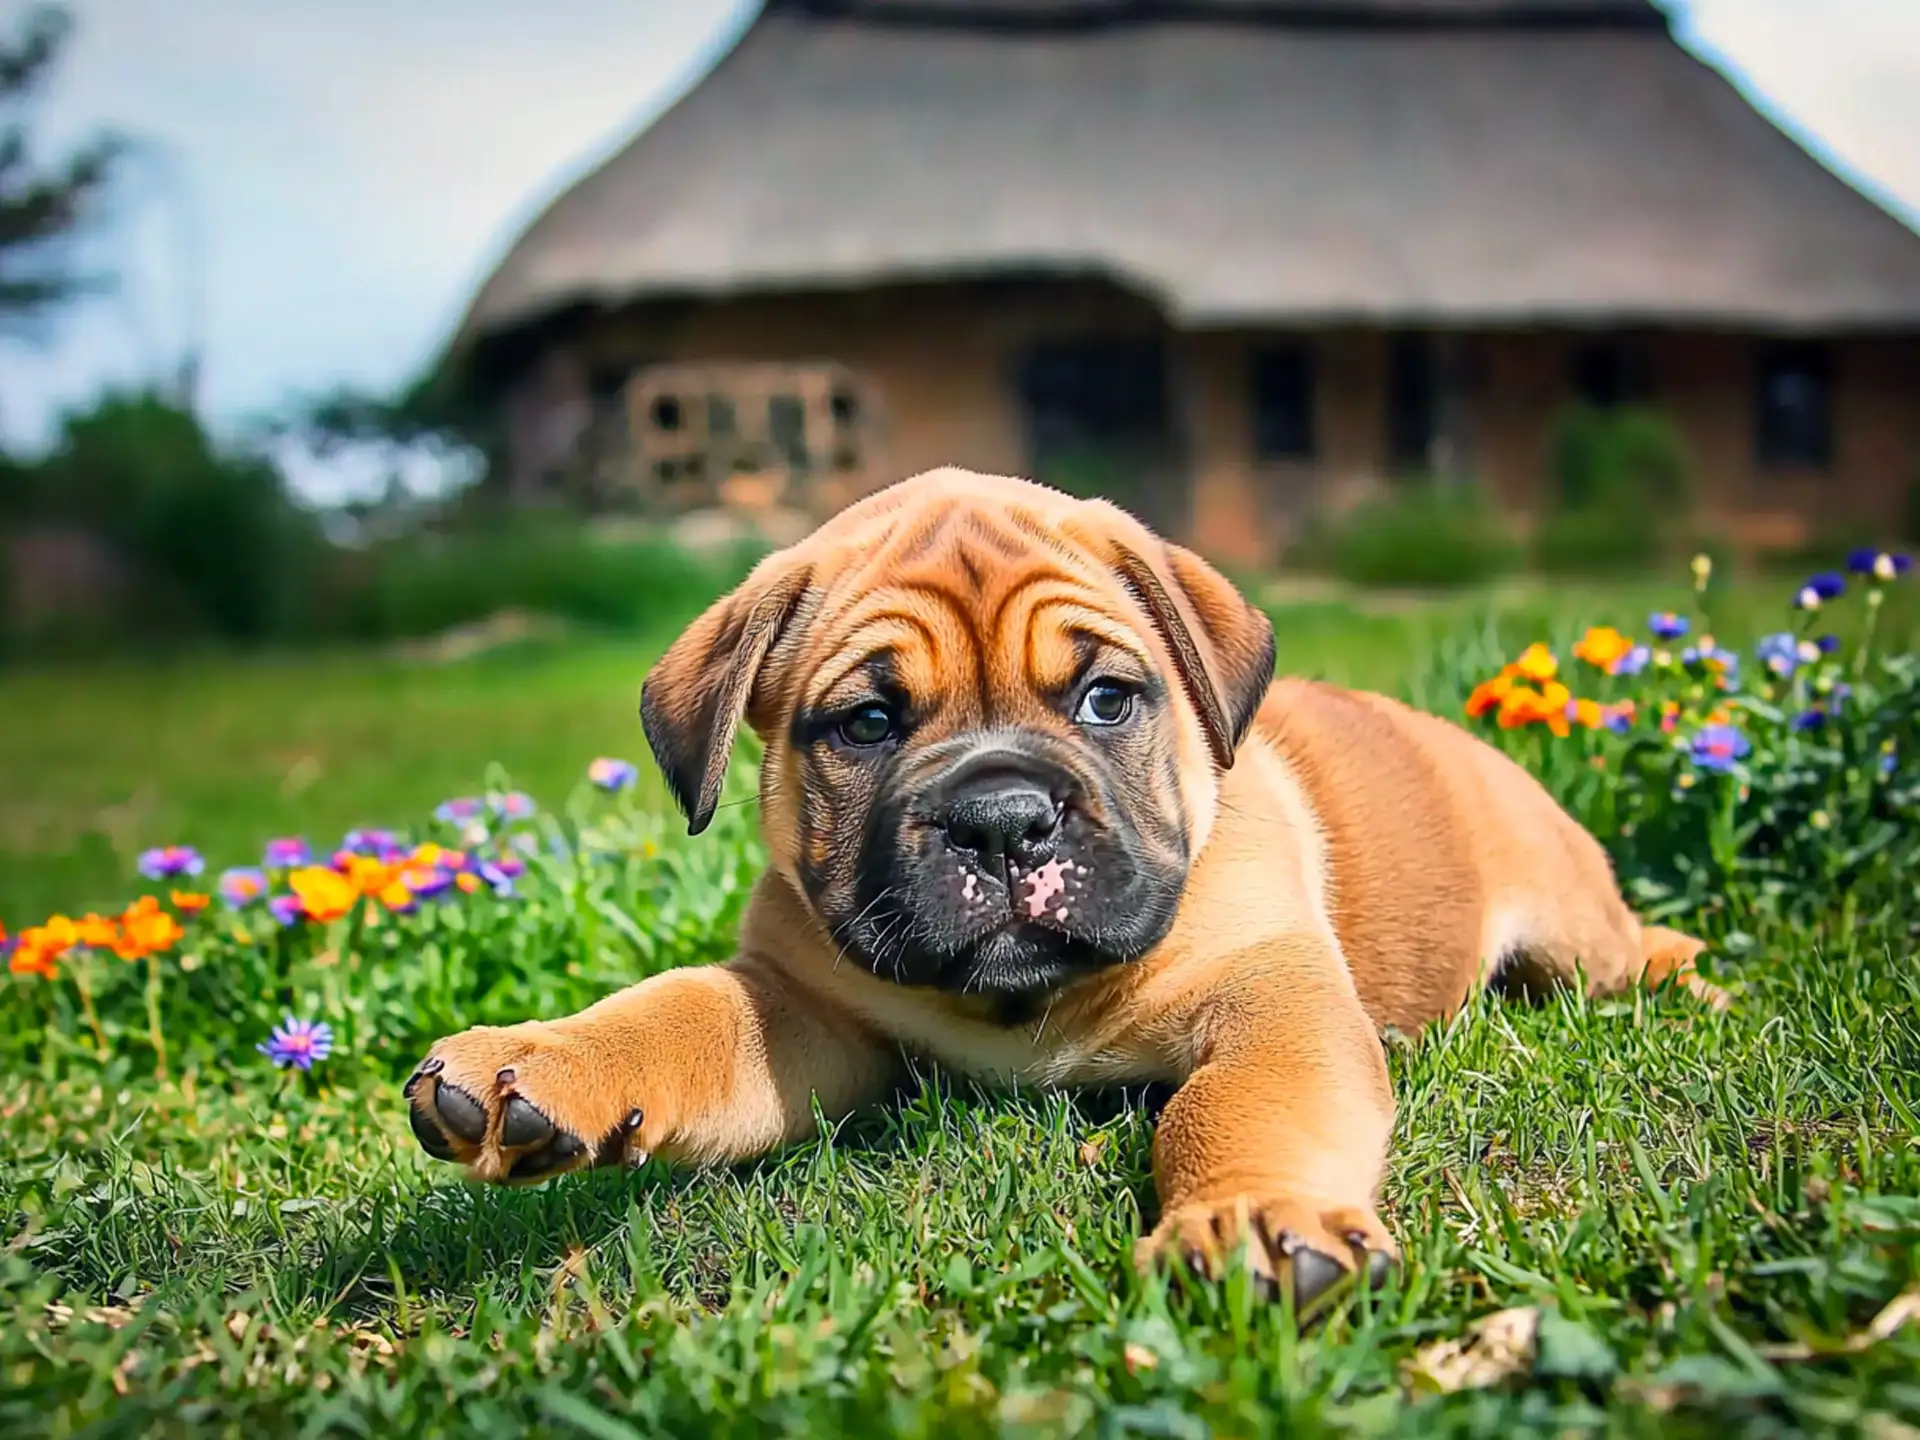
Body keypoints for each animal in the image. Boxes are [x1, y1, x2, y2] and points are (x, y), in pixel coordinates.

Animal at [405, 468, 1728, 1313]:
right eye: (868, 723)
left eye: (1104, 700)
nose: (1001, 820)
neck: (1025, 1007)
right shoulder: (802, 1011)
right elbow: (677, 1010)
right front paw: (539, 1061)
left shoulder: (1274, 997)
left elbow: (1236, 1107)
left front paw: (1253, 1216)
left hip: (1574, 920)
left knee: (1631, 949)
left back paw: (1695, 985)